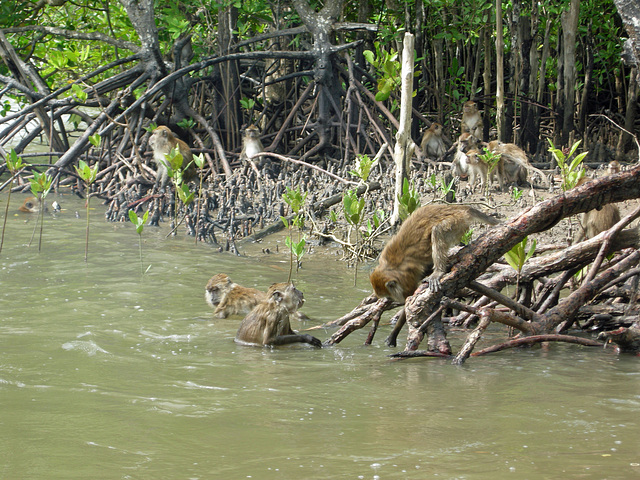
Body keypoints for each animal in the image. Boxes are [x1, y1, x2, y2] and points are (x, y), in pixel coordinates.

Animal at [370, 203, 500, 302]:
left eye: (388, 296)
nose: (388, 300)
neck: (389, 266)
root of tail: (456, 207)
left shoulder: (408, 276)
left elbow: (410, 293)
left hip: (457, 222)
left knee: (438, 230)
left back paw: (438, 271)